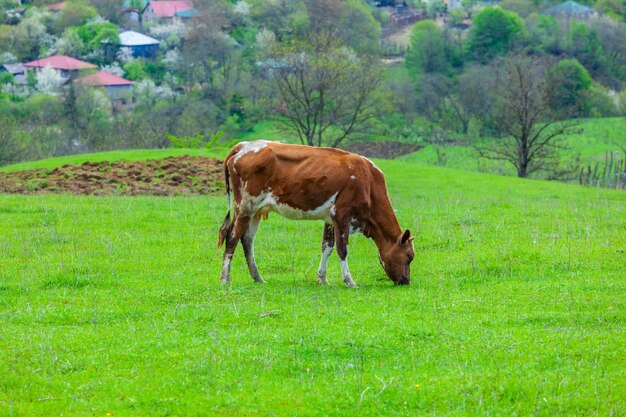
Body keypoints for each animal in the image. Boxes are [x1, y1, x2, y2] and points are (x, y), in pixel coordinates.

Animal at [217, 140, 412, 286]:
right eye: (410, 256)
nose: (406, 281)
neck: (368, 183)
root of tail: (245, 145)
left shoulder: (331, 218)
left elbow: (327, 246)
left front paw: (322, 279)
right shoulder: (342, 214)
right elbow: (342, 249)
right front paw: (349, 281)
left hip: (255, 210)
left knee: (247, 240)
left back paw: (257, 277)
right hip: (245, 206)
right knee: (232, 237)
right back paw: (225, 279)